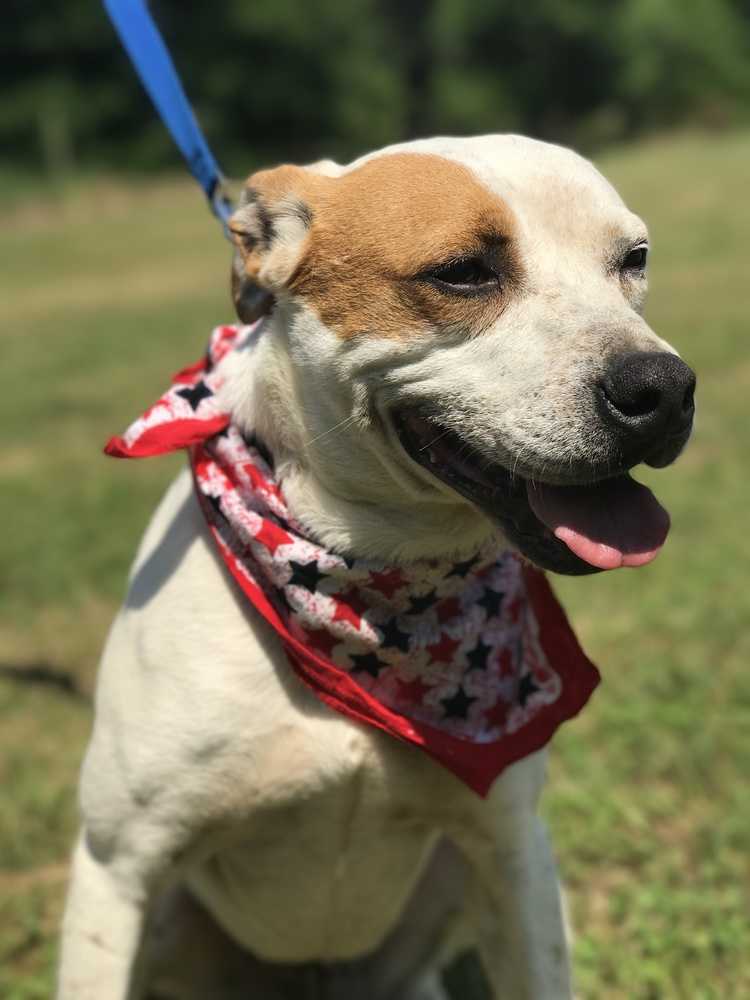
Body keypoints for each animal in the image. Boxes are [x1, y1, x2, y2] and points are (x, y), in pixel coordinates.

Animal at [58, 135, 700, 1000]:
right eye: (462, 271)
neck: (368, 586)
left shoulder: (513, 857)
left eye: (633, 259)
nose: (663, 389)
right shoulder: (116, 872)